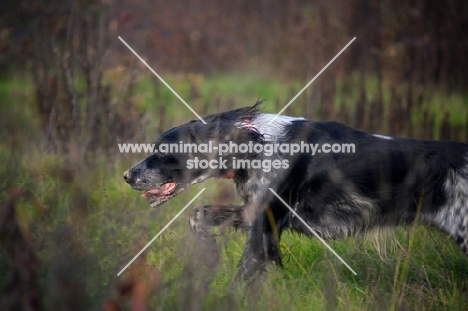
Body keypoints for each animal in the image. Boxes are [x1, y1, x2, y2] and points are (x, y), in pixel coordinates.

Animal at [123, 103, 468, 282]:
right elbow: (198, 215)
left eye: (162, 152)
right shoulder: (255, 213)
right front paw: (207, 252)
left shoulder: (265, 228)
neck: (256, 144)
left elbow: (244, 276)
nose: (126, 176)